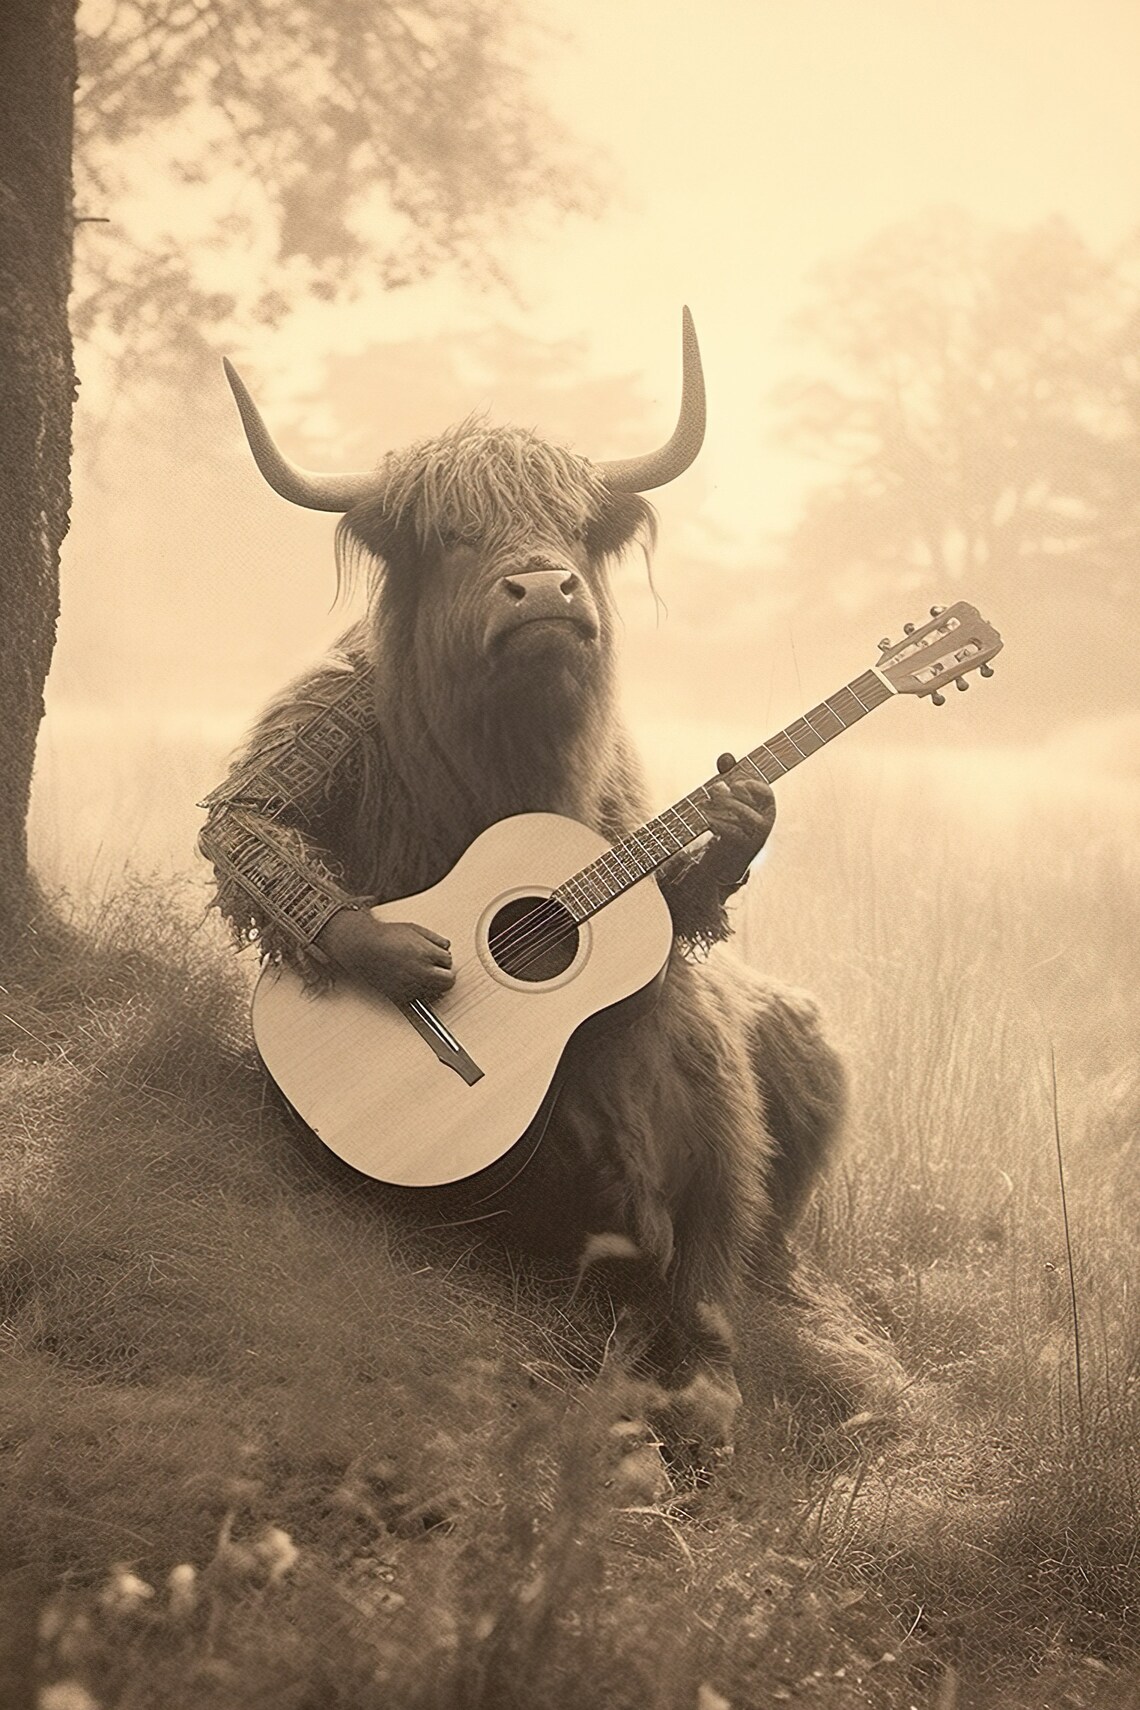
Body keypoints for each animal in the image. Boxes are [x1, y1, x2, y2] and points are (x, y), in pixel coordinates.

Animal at [198, 311, 853, 1466]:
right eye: (455, 536)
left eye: (574, 526)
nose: (545, 590)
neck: (511, 763)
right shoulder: (320, 720)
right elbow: (245, 823)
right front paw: (398, 955)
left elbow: (682, 941)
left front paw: (741, 817)